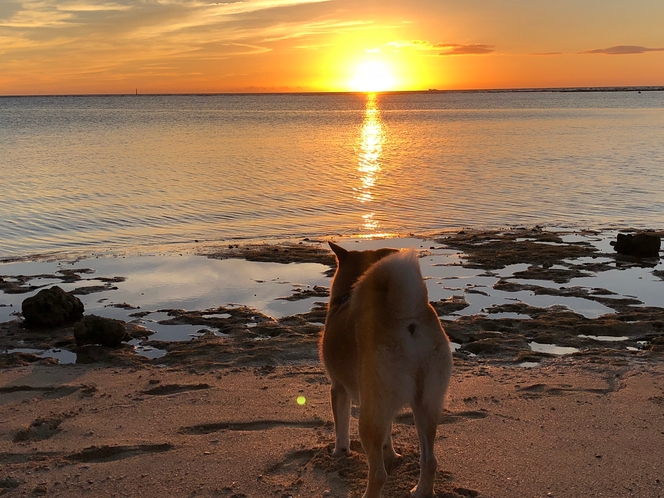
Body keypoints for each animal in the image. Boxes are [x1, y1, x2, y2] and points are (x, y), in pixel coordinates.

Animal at [320, 242, 454, 498]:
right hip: (425, 406)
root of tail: (407, 317)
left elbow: (341, 429)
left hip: (370, 414)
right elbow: (388, 435)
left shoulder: (338, 388)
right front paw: (391, 453)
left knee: (378, 475)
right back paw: (421, 491)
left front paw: (339, 454)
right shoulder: (385, 408)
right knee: (430, 461)